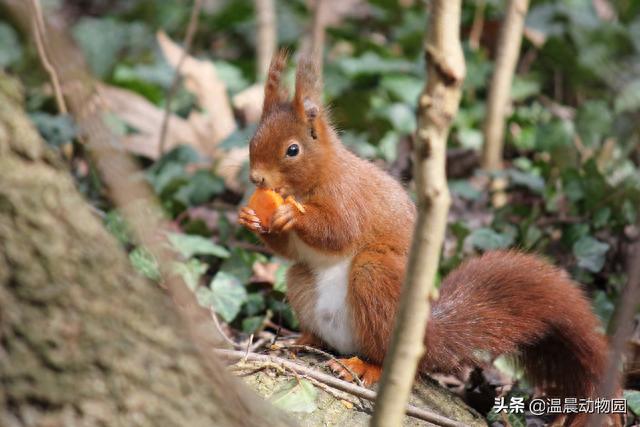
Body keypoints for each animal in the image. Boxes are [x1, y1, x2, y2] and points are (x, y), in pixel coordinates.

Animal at [239, 52, 608, 424]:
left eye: (293, 150)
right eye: (252, 140)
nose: (256, 178)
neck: (311, 181)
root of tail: (423, 338)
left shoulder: (348, 197)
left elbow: (337, 230)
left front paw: (292, 215)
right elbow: (289, 249)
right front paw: (251, 218)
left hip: (375, 277)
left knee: (381, 350)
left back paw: (363, 367)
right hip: (301, 281)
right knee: (312, 309)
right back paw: (298, 340)